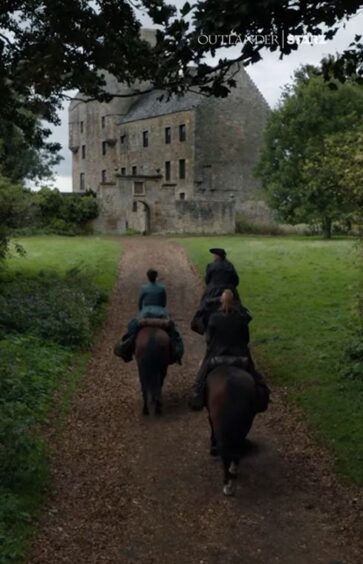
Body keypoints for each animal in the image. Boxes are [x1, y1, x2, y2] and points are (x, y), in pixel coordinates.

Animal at [208, 366, 258, 494]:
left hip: (223, 431)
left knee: (225, 455)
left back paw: (227, 485)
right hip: (244, 427)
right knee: (236, 449)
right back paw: (234, 471)